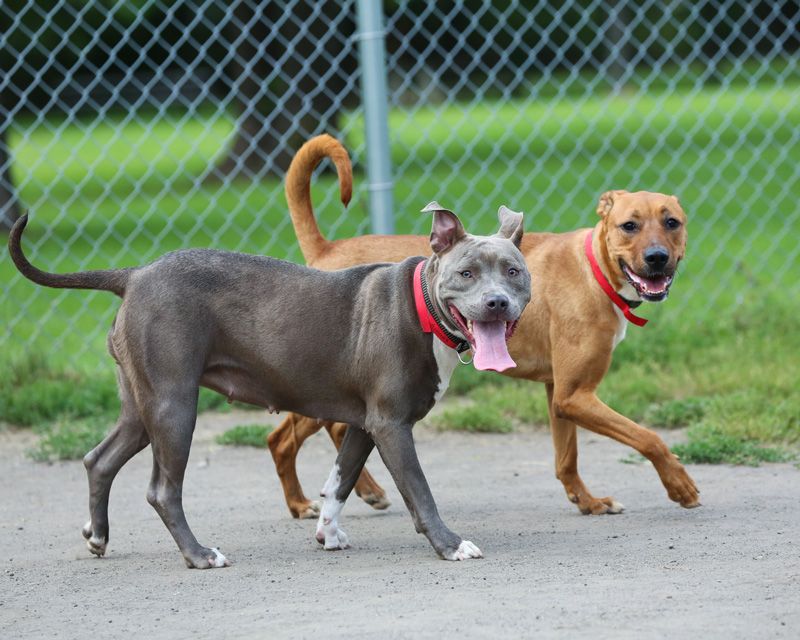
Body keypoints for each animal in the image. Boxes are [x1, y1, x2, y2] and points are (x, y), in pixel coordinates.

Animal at [9, 202, 532, 568]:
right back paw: (199, 555)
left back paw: (98, 537)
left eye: (513, 272)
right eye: (466, 273)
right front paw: (450, 545)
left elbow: (339, 481)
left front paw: (327, 532)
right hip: (174, 406)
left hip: (141, 406)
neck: (421, 306)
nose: (497, 302)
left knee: (99, 460)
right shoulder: (392, 426)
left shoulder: (367, 425)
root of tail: (134, 275)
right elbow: (420, 493)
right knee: (162, 490)